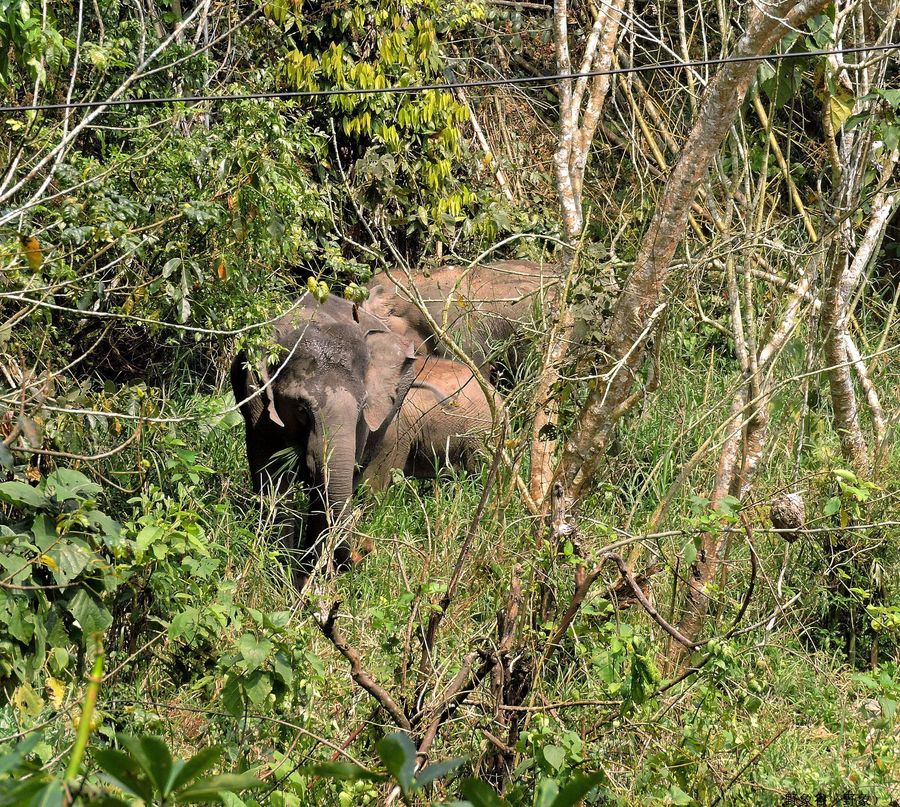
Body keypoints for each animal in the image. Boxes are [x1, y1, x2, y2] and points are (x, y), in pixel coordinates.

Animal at [230, 294, 416, 592]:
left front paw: (311, 575)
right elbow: (273, 477)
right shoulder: (256, 397)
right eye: (302, 409)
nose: (363, 553)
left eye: (362, 406)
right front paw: (282, 575)